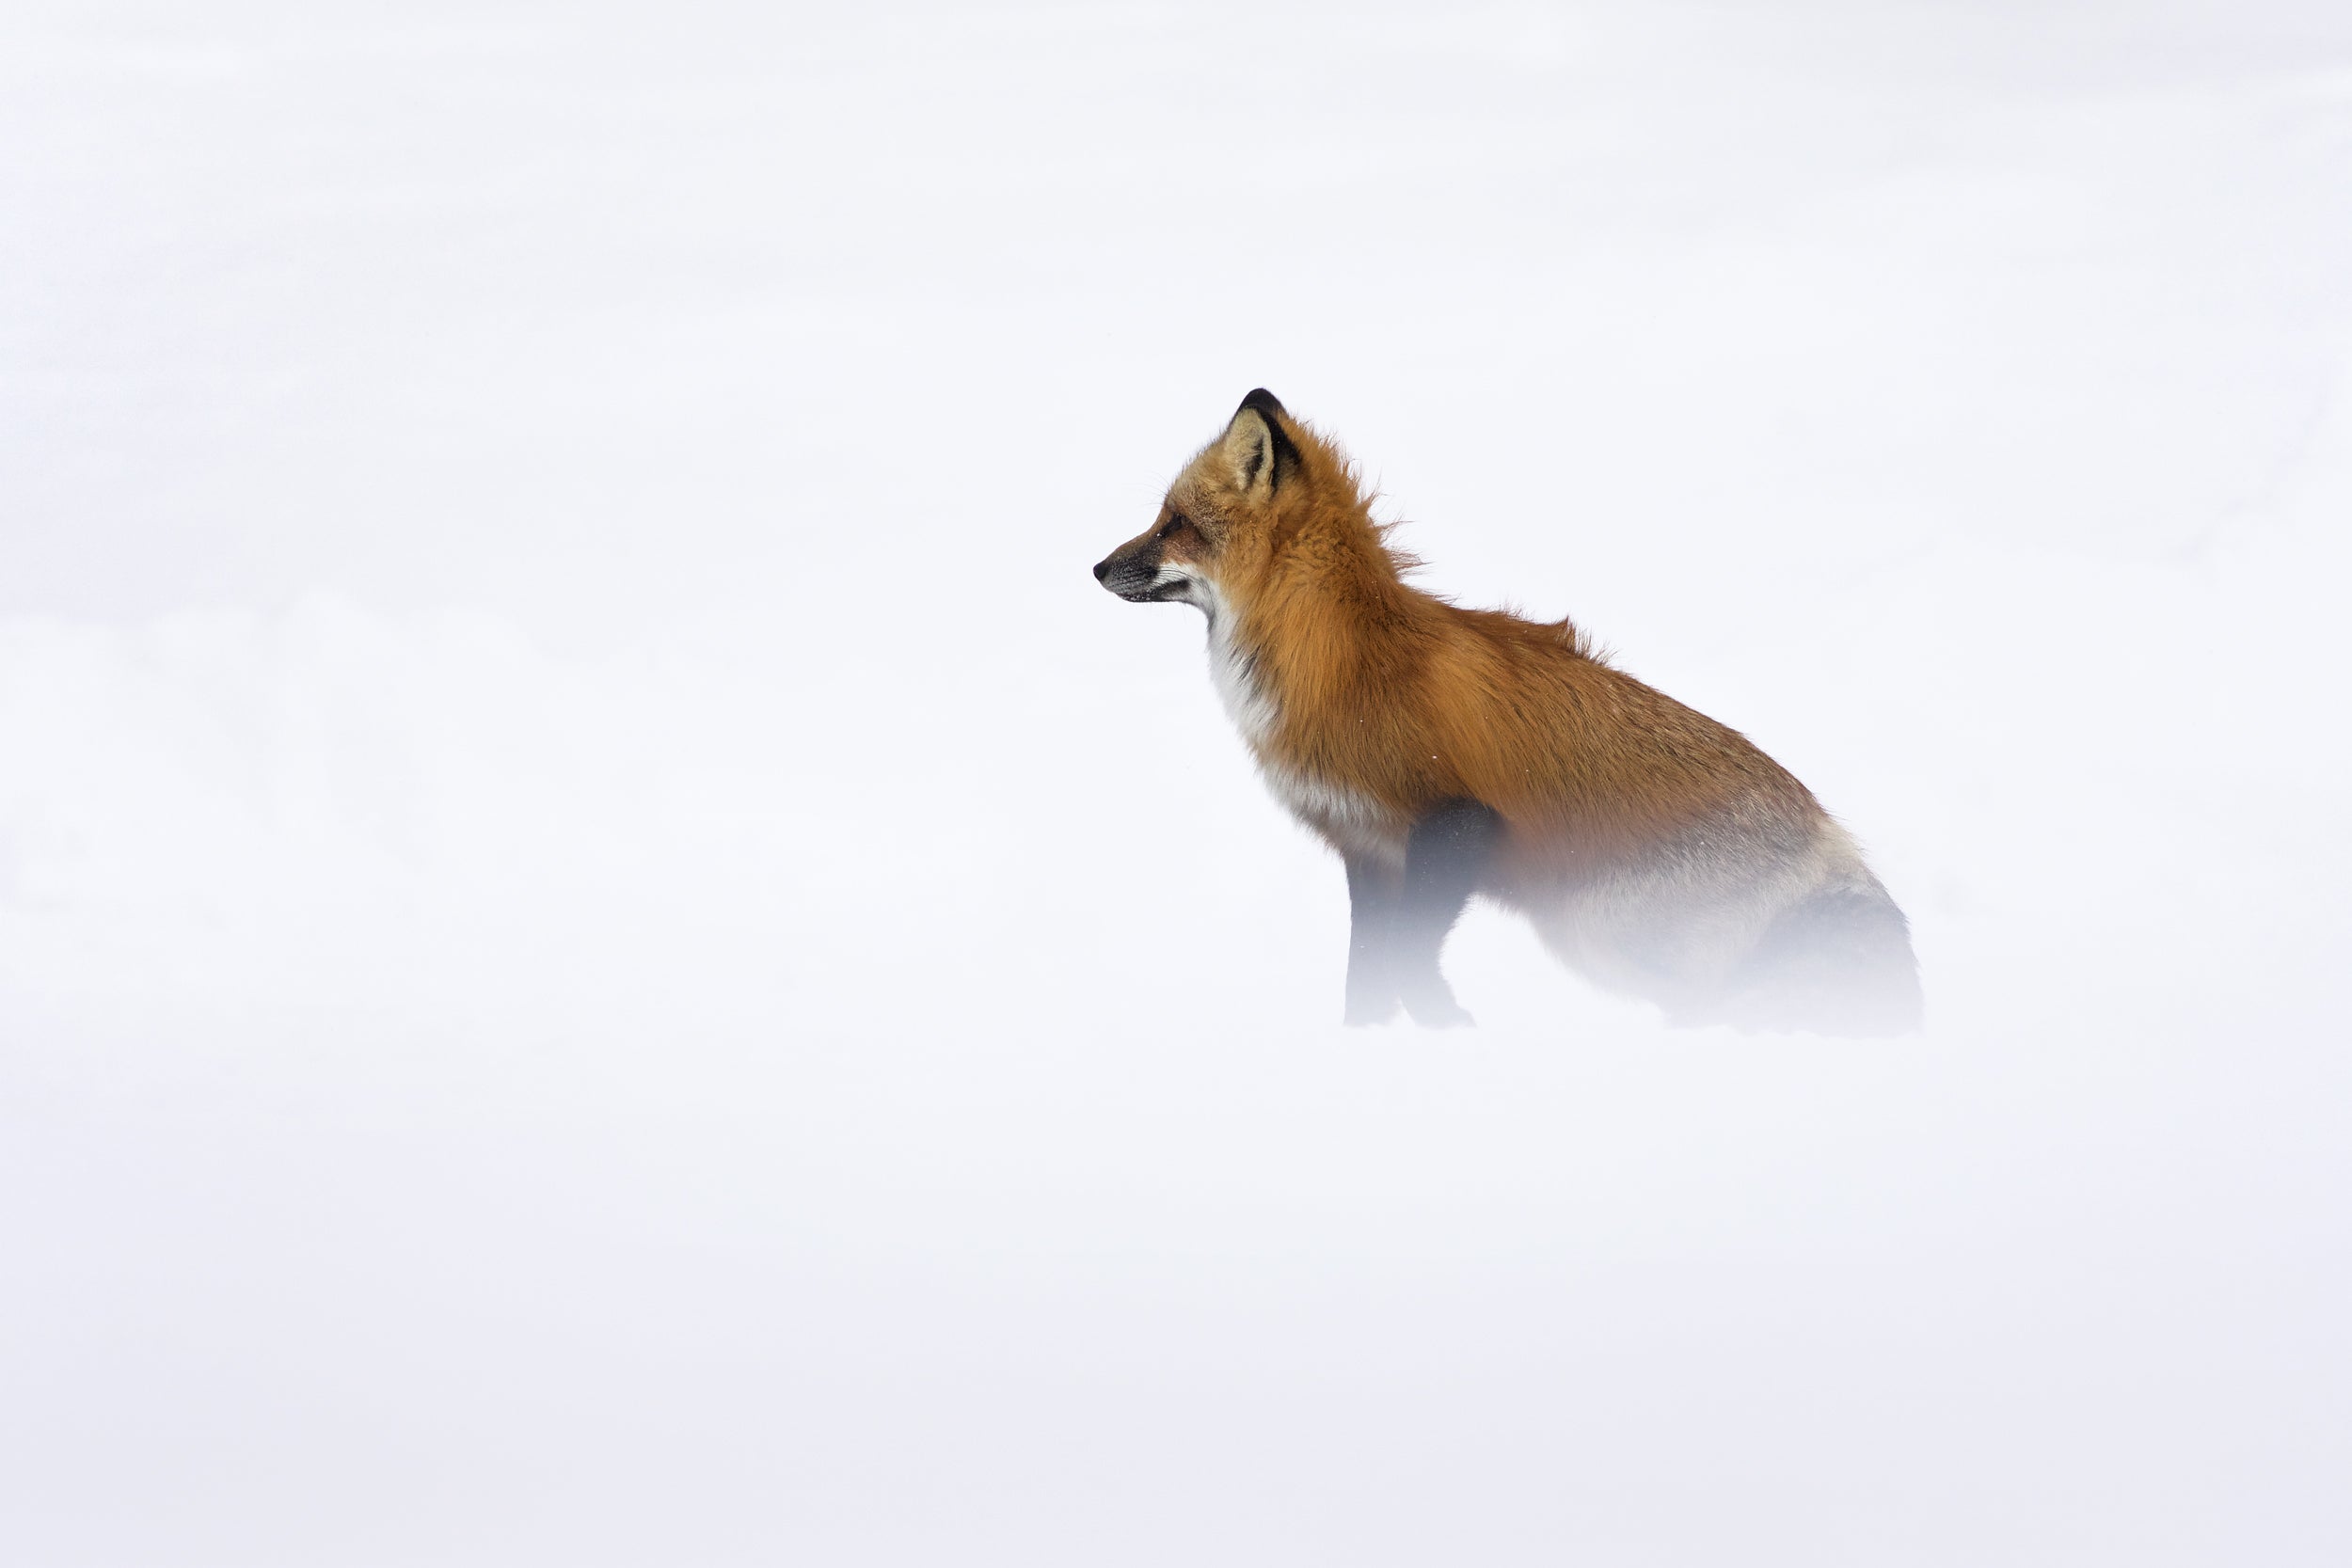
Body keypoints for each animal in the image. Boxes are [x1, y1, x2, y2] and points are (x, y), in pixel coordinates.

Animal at [1092, 390, 1922, 1035]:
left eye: (1173, 522)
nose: (1096, 566)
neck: (1337, 656)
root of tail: (1826, 830)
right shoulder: (1368, 849)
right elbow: (1368, 983)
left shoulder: (1457, 819)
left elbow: (1411, 966)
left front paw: (1450, 1024)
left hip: (1611, 936)